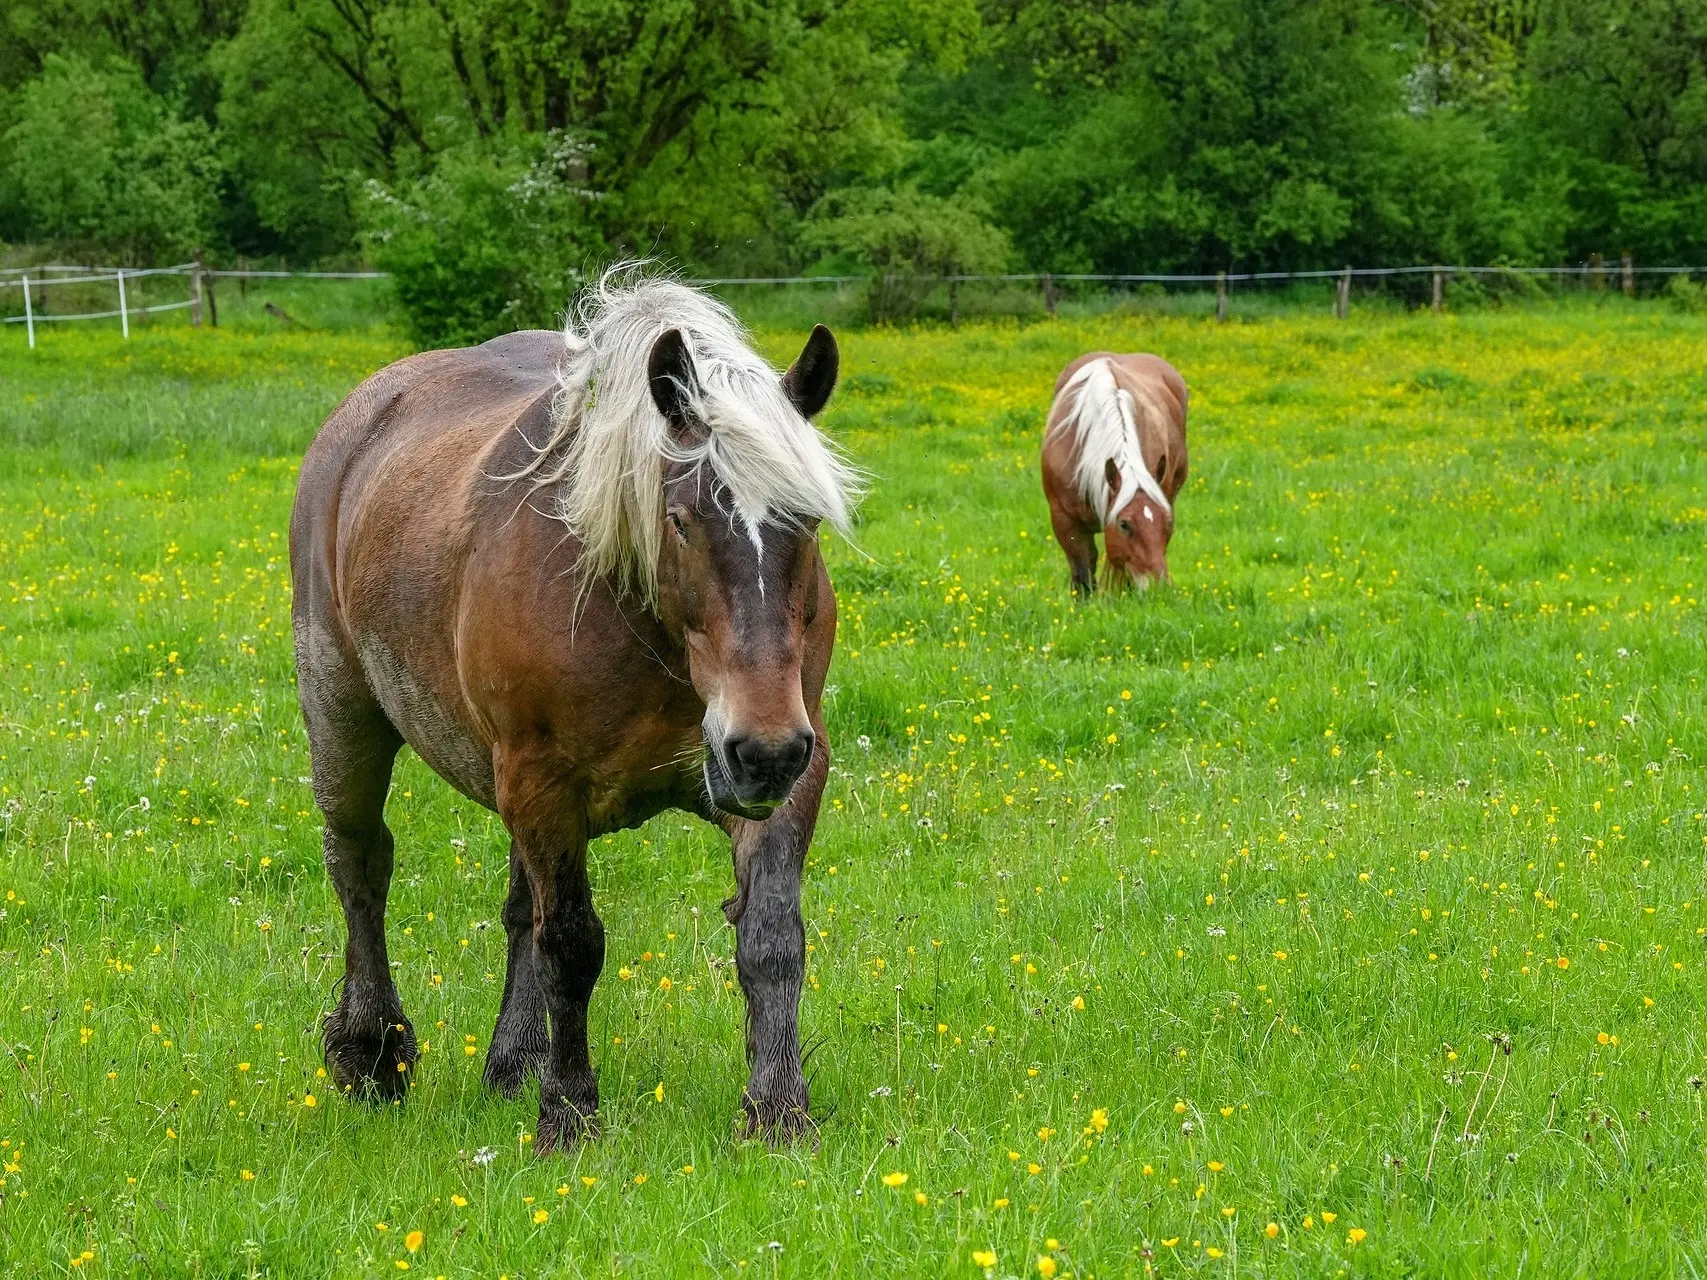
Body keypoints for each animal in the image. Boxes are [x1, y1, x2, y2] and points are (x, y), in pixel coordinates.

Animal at [290, 273, 867, 1153]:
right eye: (681, 521)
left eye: (804, 520)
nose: (760, 750)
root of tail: (361, 416)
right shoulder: (543, 779)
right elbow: (569, 945)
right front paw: (568, 1114)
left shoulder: (788, 773)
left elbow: (770, 938)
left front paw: (778, 1112)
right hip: (344, 714)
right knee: (361, 869)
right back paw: (373, 1053)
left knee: (513, 908)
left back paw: (512, 1061)